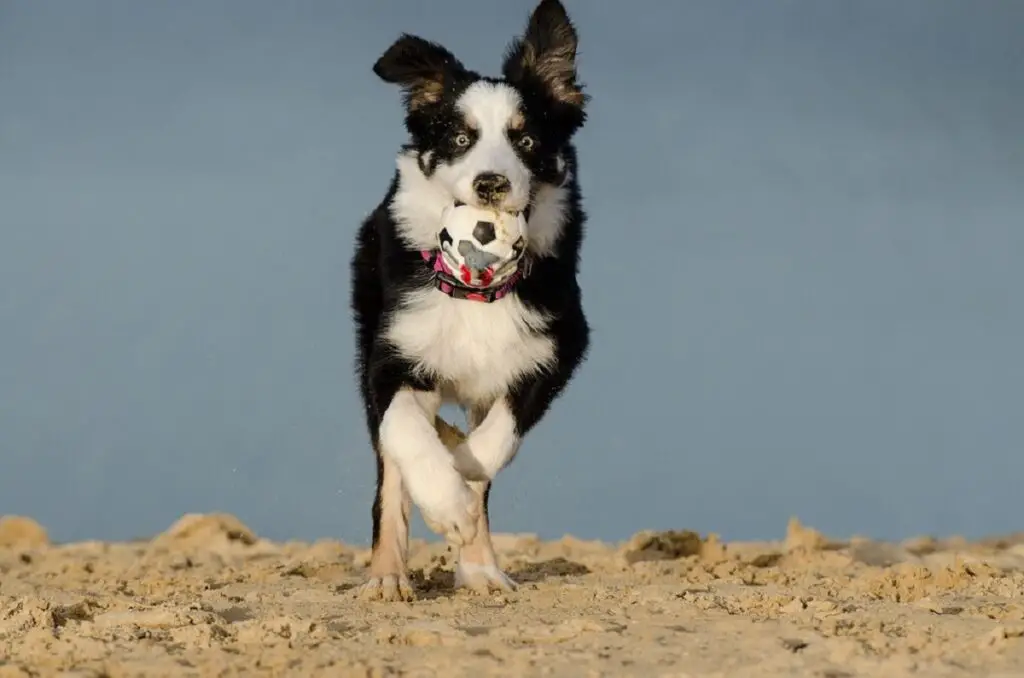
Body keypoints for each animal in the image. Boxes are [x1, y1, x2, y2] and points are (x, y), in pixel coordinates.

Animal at [352, 0, 593, 606]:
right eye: (460, 139)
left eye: (526, 142)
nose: (490, 183)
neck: (476, 292)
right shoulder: (392, 354)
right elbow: (403, 433)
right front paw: (447, 501)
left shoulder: (555, 348)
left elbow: (496, 441)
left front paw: (461, 474)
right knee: (391, 469)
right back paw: (388, 576)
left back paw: (481, 569)